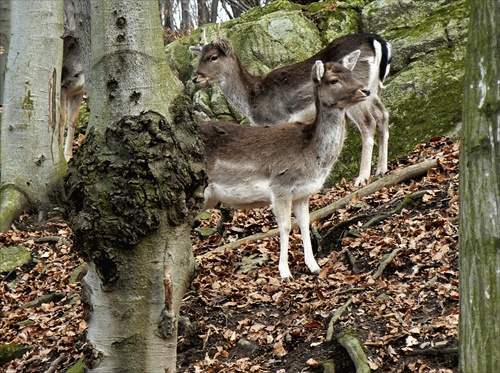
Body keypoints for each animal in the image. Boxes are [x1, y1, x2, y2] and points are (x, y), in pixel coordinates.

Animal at [190, 32, 390, 186]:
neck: (252, 100)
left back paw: (362, 177)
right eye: (199, 57)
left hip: (358, 93)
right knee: (383, 114)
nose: (195, 78)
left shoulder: (276, 119)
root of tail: (378, 40)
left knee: (368, 122)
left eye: (213, 57)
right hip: (373, 89)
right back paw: (381, 169)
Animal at [200, 50, 372, 280]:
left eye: (351, 73)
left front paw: (314, 266)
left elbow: (305, 223)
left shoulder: (302, 193)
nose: (366, 90)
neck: (311, 154)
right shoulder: (280, 186)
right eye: (334, 80)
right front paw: (285, 272)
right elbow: (285, 227)